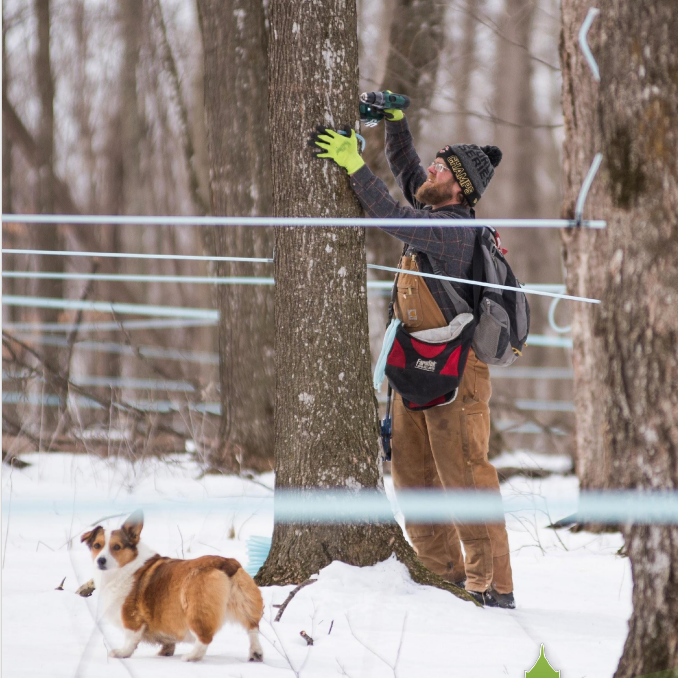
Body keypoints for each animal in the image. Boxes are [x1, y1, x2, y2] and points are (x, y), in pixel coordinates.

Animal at [82, 510, 266, 664]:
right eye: (97, 545)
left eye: (117, 547)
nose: (101, 561)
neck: (127, 565)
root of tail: (226, 563)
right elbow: (168, 642)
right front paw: (165, 652)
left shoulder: (131, 617)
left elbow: (130, 639)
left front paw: (122, 653)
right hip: (245, 604)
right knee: (253, 629)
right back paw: (255, 654)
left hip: (195, 610)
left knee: (205, 637)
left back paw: (191, 657)